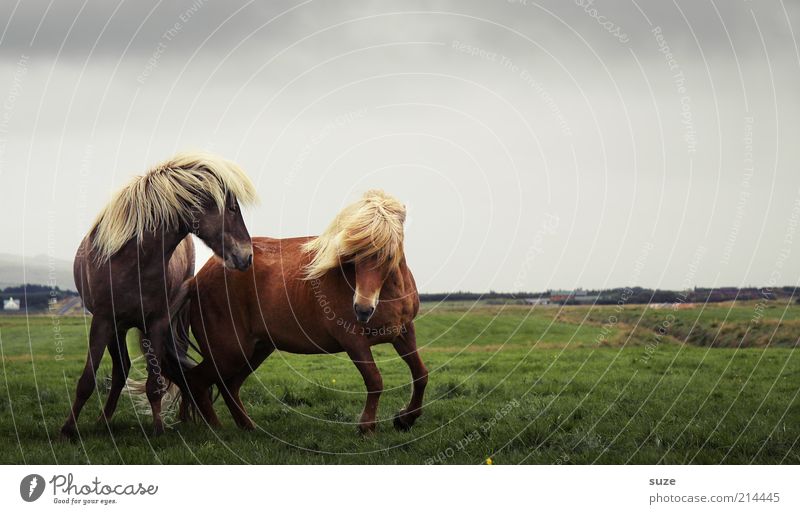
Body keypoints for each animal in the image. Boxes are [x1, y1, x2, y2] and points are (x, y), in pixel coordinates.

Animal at [61, 151, 258, 436]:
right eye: (232, 208)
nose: (247, 256)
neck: (133, 261)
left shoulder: (156, 322)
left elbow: (155, 384)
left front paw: (158, 430)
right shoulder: (103, 320)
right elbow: (87, 379)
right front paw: (67, 429)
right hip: (116, 327)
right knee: (120, 371)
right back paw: (102, 421)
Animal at [178, 188, 428, 432]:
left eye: (389, 254)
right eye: (354, 256)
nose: (363, 310)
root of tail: (197, 280)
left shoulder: (403, 332)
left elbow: (420, 375)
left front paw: (405, 419)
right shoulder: (353, 341)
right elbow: (375, 380)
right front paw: (367, 427)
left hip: (257, 348)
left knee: (229, 385)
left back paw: (248, 427)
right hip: (229, 352)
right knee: (197, 380)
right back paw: (216, 429)